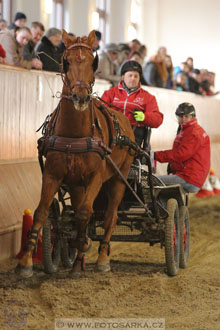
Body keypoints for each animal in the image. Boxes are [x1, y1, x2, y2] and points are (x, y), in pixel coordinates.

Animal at [15, 30, 134, 278]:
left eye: (93, 62)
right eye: (66, 61)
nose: (80, 97)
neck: (74, 134)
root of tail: (126, 121)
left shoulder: (96, 177)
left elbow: (85, 214)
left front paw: (82, 245)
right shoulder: (53, 174)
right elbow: (42, 212)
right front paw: (27, 261)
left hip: (119, 178)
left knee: (110, 216)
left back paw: (102, 257)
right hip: (76, 184)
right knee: (82, 209)